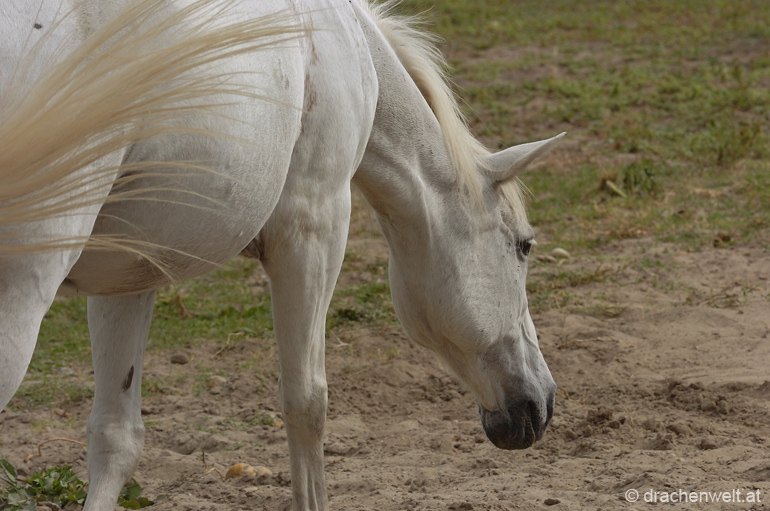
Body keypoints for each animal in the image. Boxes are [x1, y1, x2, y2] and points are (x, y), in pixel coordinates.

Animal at [3, 0, 560, 510]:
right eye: (524, 245)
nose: (542, 402)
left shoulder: (131, 269)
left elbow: (116, 437)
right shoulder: (313, 230)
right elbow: (306, 403)